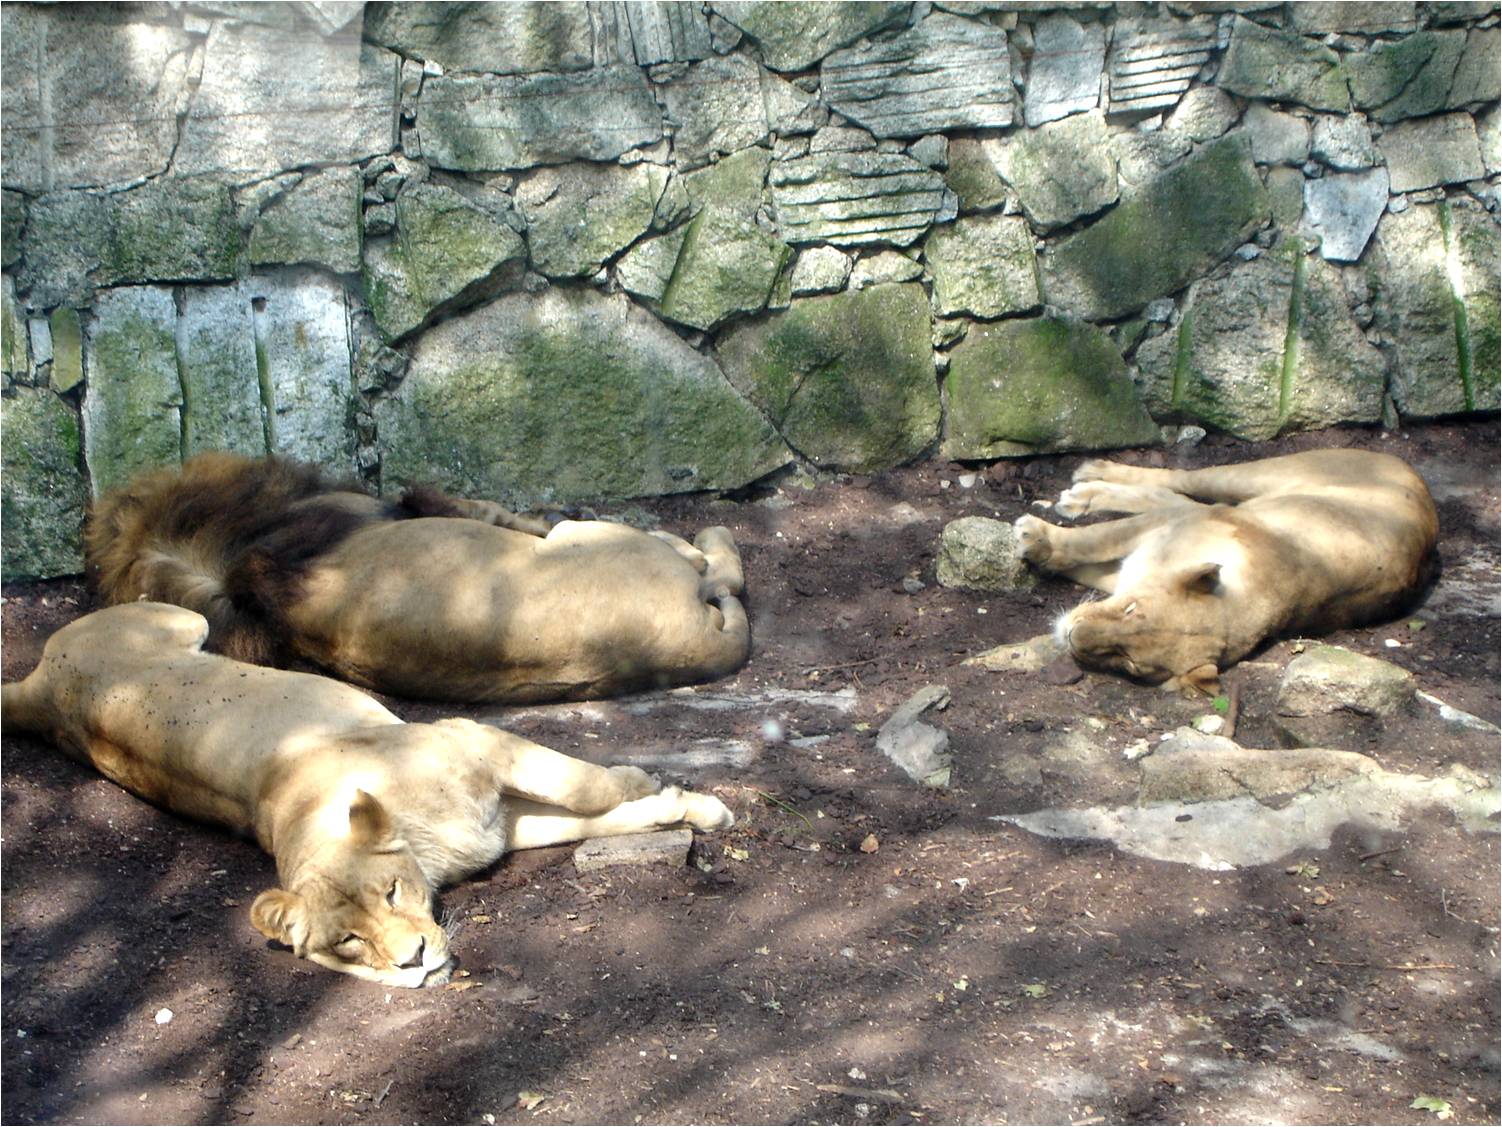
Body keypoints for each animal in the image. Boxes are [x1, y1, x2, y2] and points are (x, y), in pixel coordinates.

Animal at [1, 602, 735, 987]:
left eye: (390, 892)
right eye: (350, 942)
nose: (414, 962)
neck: (427, 853)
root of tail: (39, 681)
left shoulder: (478, 742)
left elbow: (589, 788)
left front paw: (671, 793)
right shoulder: (499, 822)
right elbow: (594, 814)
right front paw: (676, 802)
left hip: (182, 617)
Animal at [85, 453, 750, 704]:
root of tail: (697, 646)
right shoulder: (399, 505)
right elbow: (482, 507)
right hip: (599, 544)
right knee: (716, 566)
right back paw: (702, 539)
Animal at [1012, 449, 1439, 695]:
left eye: (1128, 661)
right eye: (1131, 609)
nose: (1072, 634)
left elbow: (1089, 563)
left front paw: (1041, 552)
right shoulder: (1166, 531)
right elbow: (1094, 540)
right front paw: (1038, 538)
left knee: (1174, 496)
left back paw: (1085, 494)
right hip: (1252, 478)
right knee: (1180, 481)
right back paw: (1089, 474)